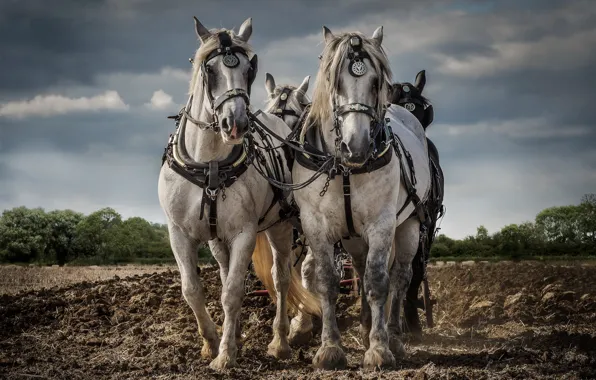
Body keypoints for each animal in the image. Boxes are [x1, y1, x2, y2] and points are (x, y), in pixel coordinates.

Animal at [288, 27, 428, 372]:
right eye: (333, 81)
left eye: (376, 83)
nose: (357, 147)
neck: (345, 167)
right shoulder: (315, 225)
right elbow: (327, 281)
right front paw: (330, 349)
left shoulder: (382, 223)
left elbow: (378, 281)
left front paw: (378, 349)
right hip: (353, 237)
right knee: (362, 269)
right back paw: (366, 327)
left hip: (409, 226)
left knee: (400, 278)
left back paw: (393, 337)